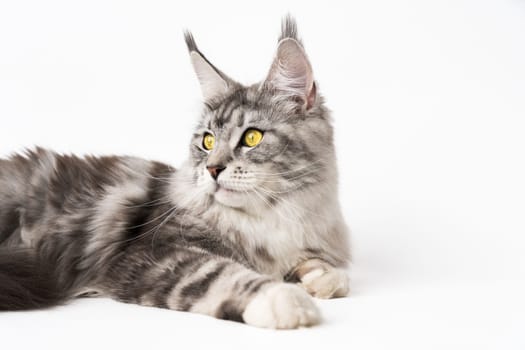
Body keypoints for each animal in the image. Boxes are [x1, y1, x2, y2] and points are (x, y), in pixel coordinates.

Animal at [0, 15, 348, 328]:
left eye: (251, 137)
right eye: (208, 141)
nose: (212, 169)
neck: (269, 216)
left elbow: (321, 264)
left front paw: (325, 278)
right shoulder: (155, 254)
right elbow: (220, 274)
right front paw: (283, 299)